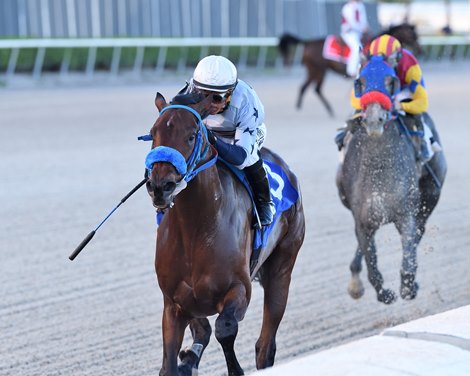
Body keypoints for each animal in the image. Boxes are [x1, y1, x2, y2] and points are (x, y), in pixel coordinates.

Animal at [144, 93, 304, 374]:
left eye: (192, 135)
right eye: (154, 133)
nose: (161, 186)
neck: (196, 230)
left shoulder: (239, 290)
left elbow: (224, 329)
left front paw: (234, 368)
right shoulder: (174, 303)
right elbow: (171, 362)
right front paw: (185, 360)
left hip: (282, 268)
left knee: (265, 345)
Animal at [278, 23, 420, 116]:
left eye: (416, 35)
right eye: (412, 35)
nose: (420, 50)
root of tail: (307, 42)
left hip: (315, 71)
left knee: (308, 88)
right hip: (318, 70)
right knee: (312, 88)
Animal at [336, 56, 446, 306]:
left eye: (391, 81)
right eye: (360, 81)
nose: (374, 120)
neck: (379, 174)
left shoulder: (405, 214)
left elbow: (409, 253)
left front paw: (408, 286)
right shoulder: (363, 219)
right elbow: (372, 265)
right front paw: (382, 292)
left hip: (431, 193)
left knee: (420, 230)